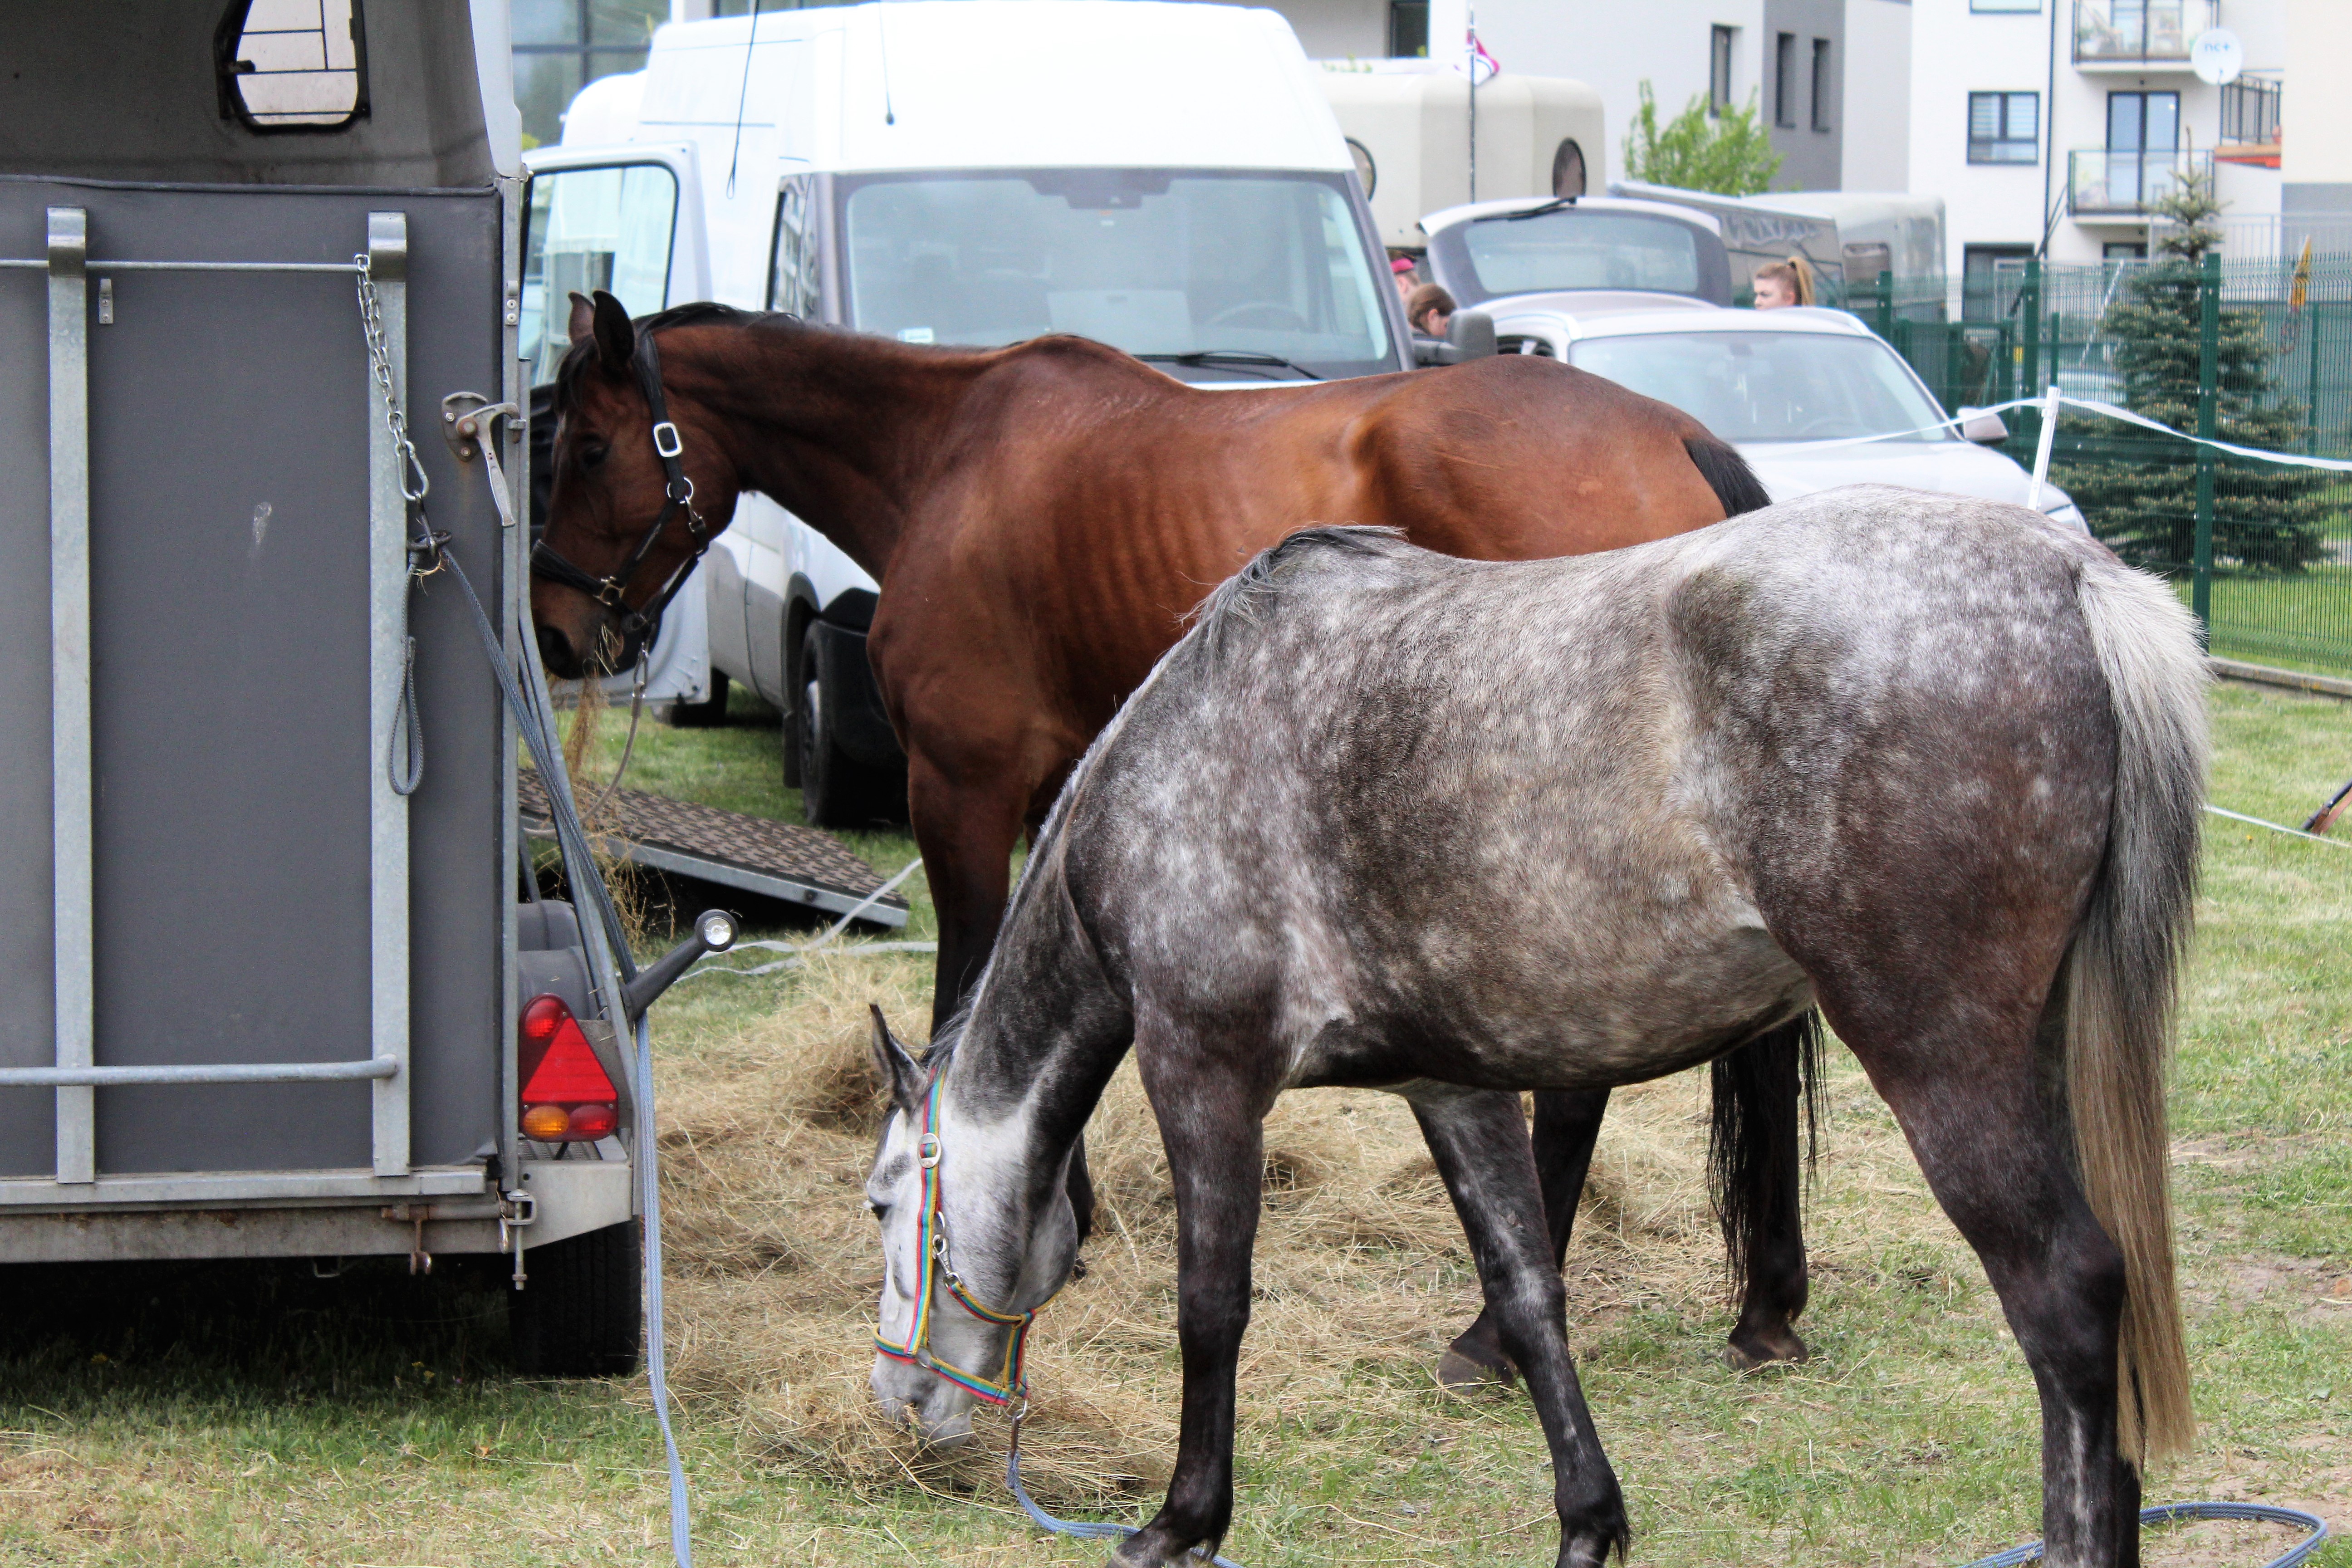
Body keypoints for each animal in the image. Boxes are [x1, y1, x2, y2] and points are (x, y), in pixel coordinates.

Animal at [534, 290, 1819, 1382]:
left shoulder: (960, 793)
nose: (551, 629)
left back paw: (1493, 1337)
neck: (947, 457)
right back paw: (1765, 1306)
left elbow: (969, 990)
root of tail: (1673, 437)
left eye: (588, 447)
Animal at [861, 489, 2203, 1568]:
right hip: (2031, 1057)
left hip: (1942, 1061)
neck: (1173, 764)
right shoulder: (1449, 1087)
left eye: (882, 1205)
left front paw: (1183, 1521)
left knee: (2066, 1295)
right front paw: (1587, 1522)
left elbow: (1212, 1301)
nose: (897, 1405)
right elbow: (1526, 1293)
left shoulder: (1204, 1068)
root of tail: (2068, 575)